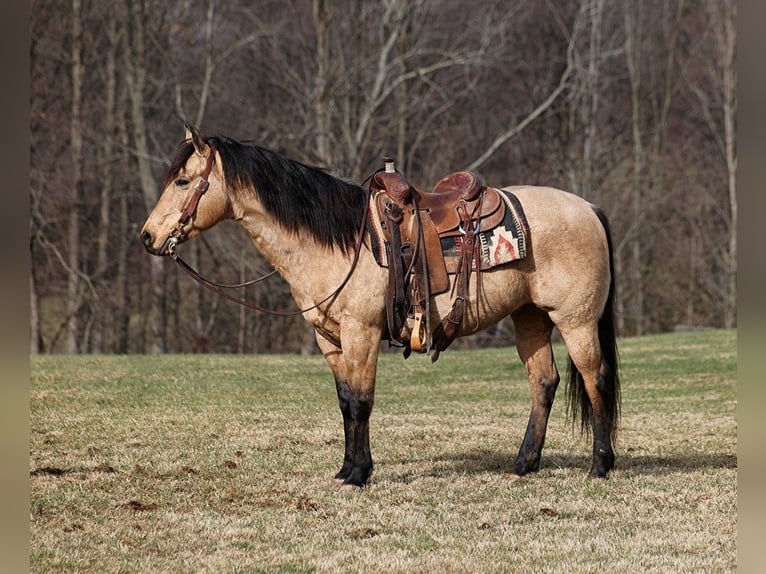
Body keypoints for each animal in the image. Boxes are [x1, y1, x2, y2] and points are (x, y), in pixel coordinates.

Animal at [141, 128, 620, 488]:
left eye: (182, 181)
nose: (147, 236)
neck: (339, 242)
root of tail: (589, 208)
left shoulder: (362, 332)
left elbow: (361, 402)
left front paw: (358, 475)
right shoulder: (330, 339)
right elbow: (344, 401)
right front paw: (346, 469)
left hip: (576, 321)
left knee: (594, 379)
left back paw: (600, 465)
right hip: (531, 318)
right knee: (544, 382)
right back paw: (523, 464)